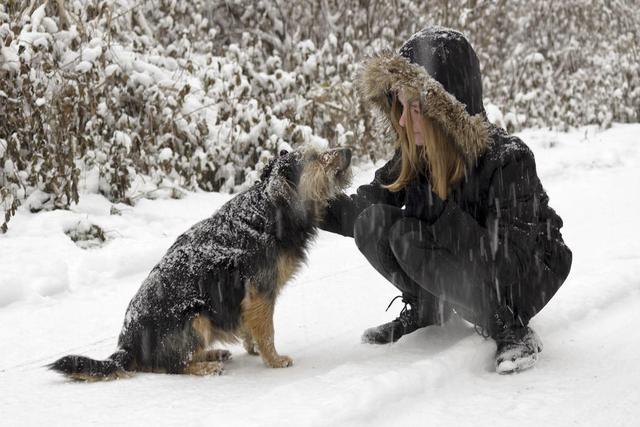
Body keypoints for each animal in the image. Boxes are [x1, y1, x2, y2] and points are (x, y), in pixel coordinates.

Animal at [48, 148, 352, 382]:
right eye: (314, 157)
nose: (348, 151)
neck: (270, 208)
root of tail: (127, 346)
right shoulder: (260, 291)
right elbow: (267, 331)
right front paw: (274, 359)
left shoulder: (249, 299)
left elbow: (252, 326)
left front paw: (253, 348)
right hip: (195, 316)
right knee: (172, 366)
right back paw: (206, 365)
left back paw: (212, 353)